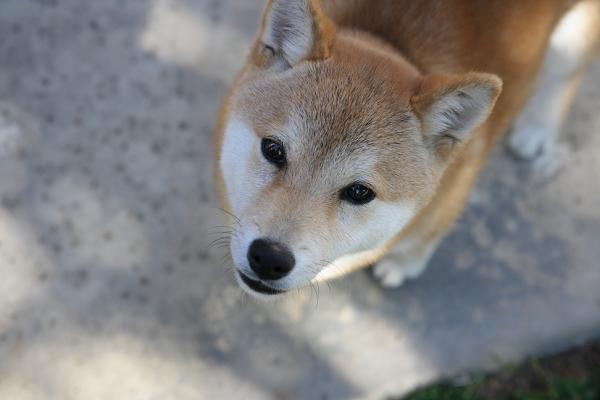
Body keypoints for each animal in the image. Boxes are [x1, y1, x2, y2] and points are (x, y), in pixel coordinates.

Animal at [214, 0, 600, 298]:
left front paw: (404, 262)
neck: (393, 42)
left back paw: (538, 128)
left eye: (359, 192)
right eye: (273, 150)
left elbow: (432, 228)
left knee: (568, 69)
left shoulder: (464, 173)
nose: (270, 257)